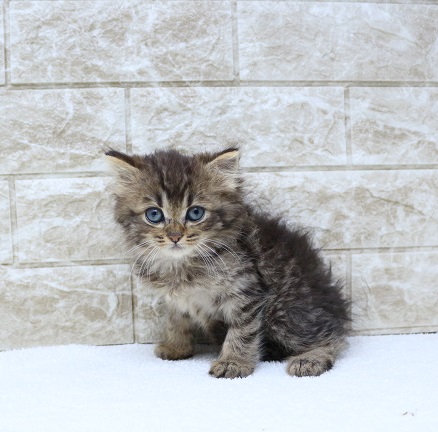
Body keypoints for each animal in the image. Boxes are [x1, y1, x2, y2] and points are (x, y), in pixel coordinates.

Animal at [105, 148, 350, 378]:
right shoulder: (176, 299)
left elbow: (242, 331)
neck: (183, 264)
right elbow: (176, 319)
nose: (175, 236)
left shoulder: (247, 290)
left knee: (332, 336)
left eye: (195, 213)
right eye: (154, 215)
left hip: (285, 310)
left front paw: (234, 362)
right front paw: (176, 346)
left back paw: (310, 358)